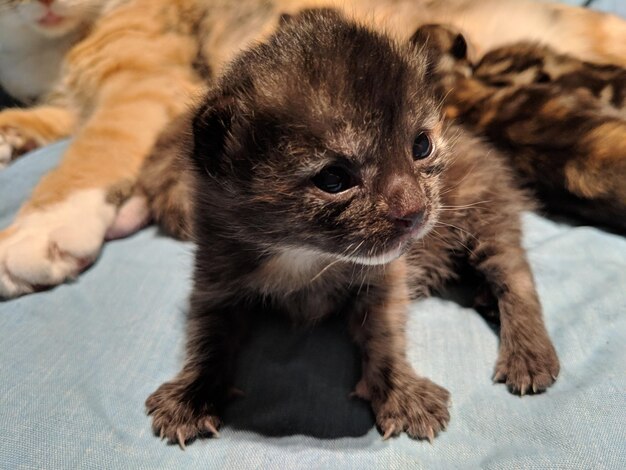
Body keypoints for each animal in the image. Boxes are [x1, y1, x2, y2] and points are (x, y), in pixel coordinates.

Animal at [144, 9, 560, 446]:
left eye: (421, 146)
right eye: (333, 179)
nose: (415, 212)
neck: (302, 255)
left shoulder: (385, 279)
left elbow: (385, 333)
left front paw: (401, 393)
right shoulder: (215, 278)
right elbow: (205, 336)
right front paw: (191, 396)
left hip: (486, 213)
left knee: (516, 277)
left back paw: (527, 353)